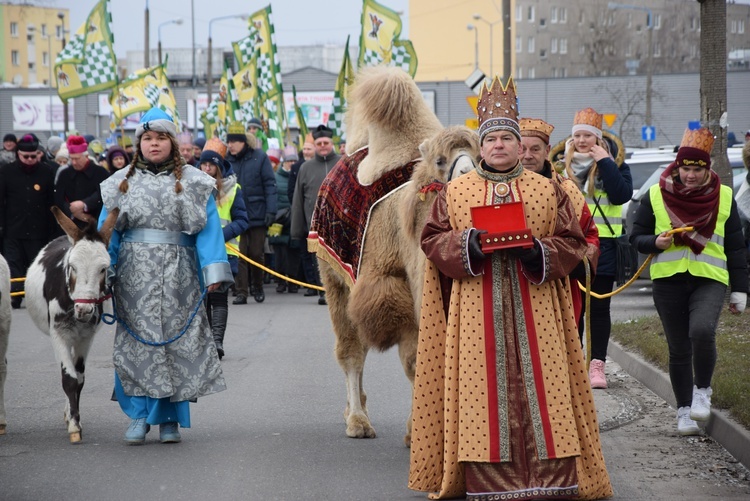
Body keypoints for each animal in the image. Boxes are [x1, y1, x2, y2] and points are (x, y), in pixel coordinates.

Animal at [312, 64, 482, 444]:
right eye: (440, 161)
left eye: (482, 157)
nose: (468, 179)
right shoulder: (389, 285)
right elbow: (415, 360)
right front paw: (418, 433)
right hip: (333, 277)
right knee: (352, 350)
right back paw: (357, 420)